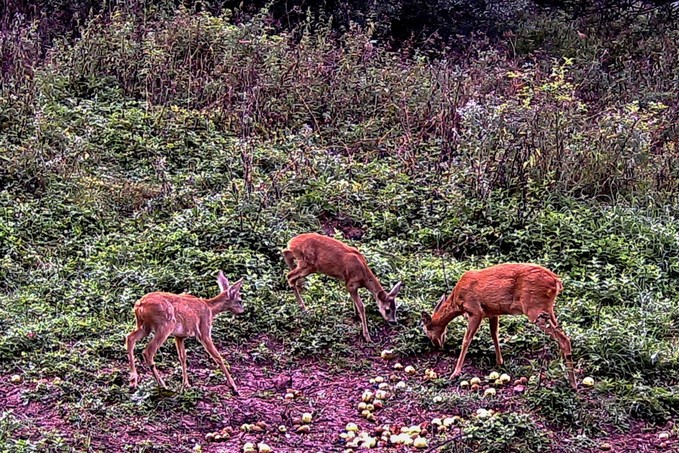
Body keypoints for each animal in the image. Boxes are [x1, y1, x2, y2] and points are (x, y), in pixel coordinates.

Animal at [422, 264, 576, 386]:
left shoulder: (475, 311)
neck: (456, 301)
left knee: (563, 338)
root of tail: (556, 281)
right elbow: (494, 334)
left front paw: (455, 373)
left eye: (427, 330)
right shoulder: (492, 312)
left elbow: (466, 340)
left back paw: (573, 384)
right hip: (547, 309)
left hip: (534, 309)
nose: (437, 345)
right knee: (561, 334)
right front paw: (499, 362)